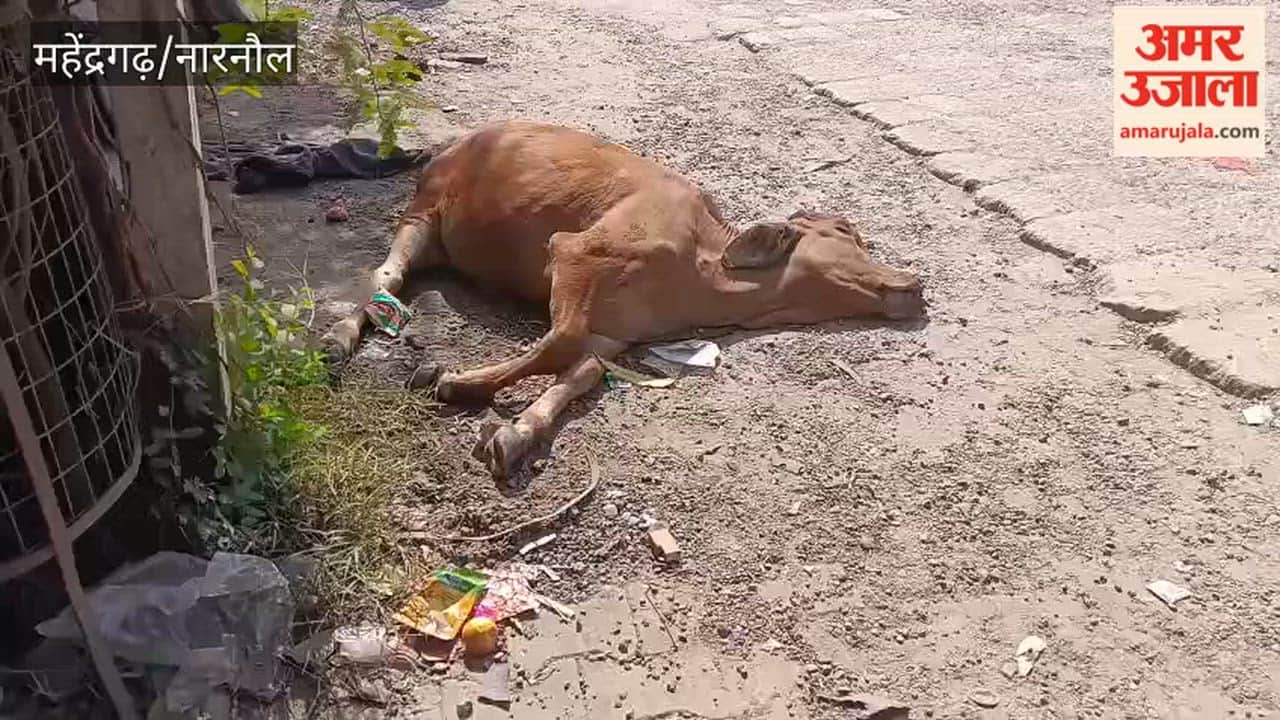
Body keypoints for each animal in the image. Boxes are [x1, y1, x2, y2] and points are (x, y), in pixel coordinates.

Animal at [324, 120, 926, 479]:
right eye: (846, 234)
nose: (915, 283)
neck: (703, 273)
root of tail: (454, 144)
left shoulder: (617, 333)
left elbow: (581, 371)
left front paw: (517, 431)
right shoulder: (574, 255)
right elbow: (558, 343)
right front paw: (454, 381)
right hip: (424, 213)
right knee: (387, 274)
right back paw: (337, 340)